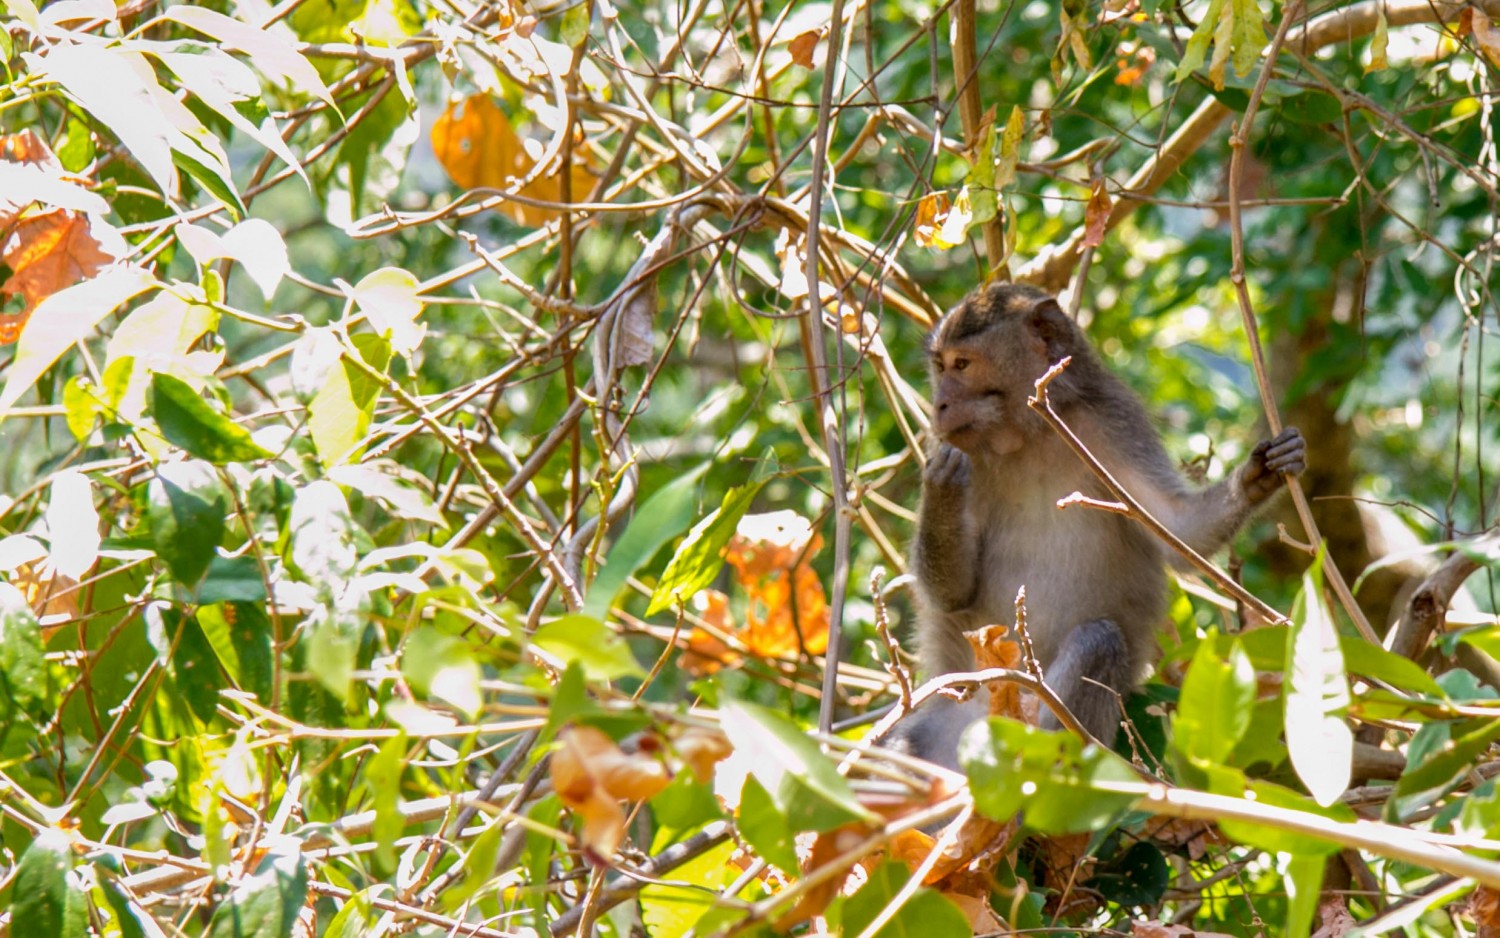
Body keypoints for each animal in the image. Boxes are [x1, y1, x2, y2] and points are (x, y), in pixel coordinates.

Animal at [888, 285, 1302, 768]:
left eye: (962, 365)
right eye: (940, 367)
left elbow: (1176, 530)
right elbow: (952, 595)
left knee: (1099, 640)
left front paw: (1259, 476)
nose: (939, 404)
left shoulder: (1112, 420)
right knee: (898, 747)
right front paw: (942, 489)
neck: (1030, 431)